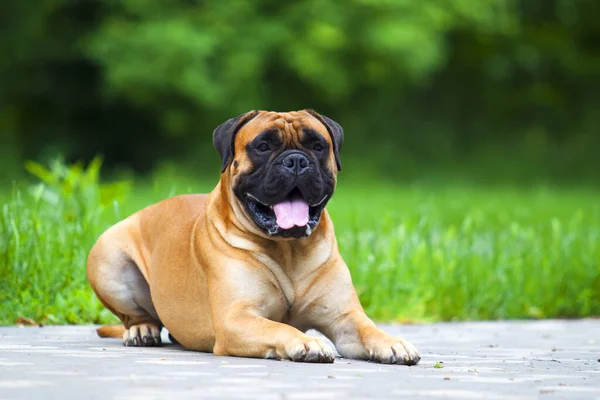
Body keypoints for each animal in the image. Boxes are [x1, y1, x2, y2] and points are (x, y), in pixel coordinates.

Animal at [86, 109, 420, 366]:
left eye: (317, 145)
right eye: (262, 146)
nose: (296, 160)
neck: (289, 250)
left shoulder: (344, 317)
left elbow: (367, 328)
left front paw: (391, 342)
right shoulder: (236, 319)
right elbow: (278, 328)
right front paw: (307, 342)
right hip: (108, 259)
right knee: (134, 316)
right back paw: (142, 329)